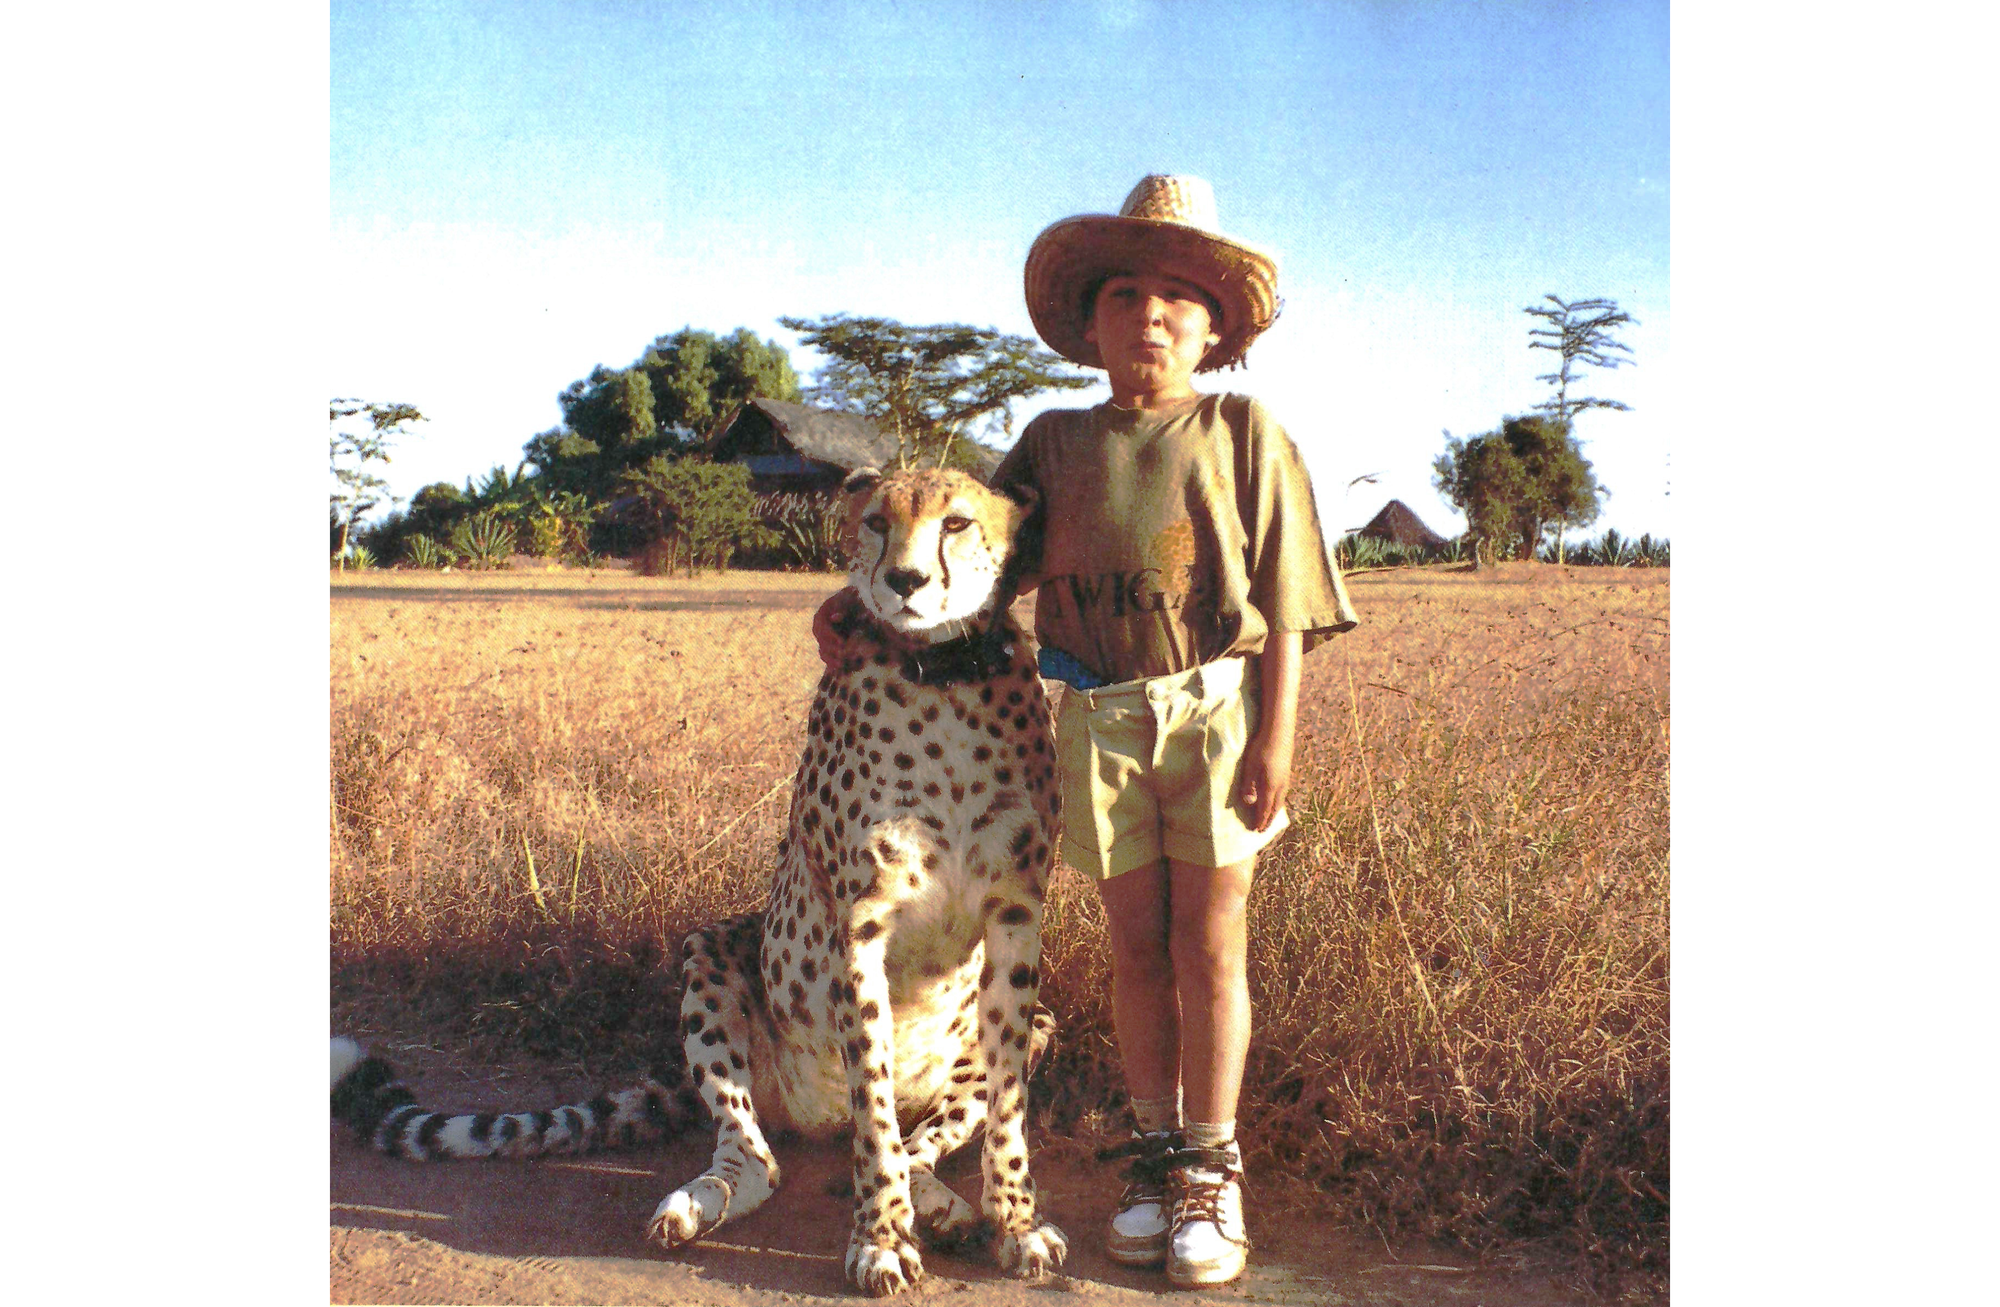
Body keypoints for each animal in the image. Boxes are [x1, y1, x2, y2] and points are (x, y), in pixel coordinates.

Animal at [336, 467, 1072, 1303]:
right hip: (711, 953)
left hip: (1033, 1025)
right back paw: (706, 1202)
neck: (941, 676)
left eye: (955, 522)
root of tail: (814, 1118)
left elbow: (1006, 1106)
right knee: (768, 1150)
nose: (904, 580)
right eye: (877, 522)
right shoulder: (857, 925)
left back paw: (945, 1207)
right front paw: (881, 1239)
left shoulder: (1016, 916)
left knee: (917, 1133)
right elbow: (875, 1112)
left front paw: (1013, 1219)